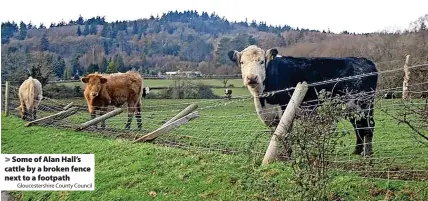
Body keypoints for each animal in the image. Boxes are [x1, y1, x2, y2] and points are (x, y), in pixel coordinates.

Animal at [227, 44, 378, 156]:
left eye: (261, 61)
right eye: (242, 62)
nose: (251, 78)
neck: (262, 99)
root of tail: (365, 60)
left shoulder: (286, 109)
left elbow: (285, 133)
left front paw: (288, 155)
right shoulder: (270, 115)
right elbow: (276, 134)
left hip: (364, 104)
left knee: (368, 126)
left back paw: (367, 153)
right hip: (352, 107)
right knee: (358, 126)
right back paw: (357, 151)